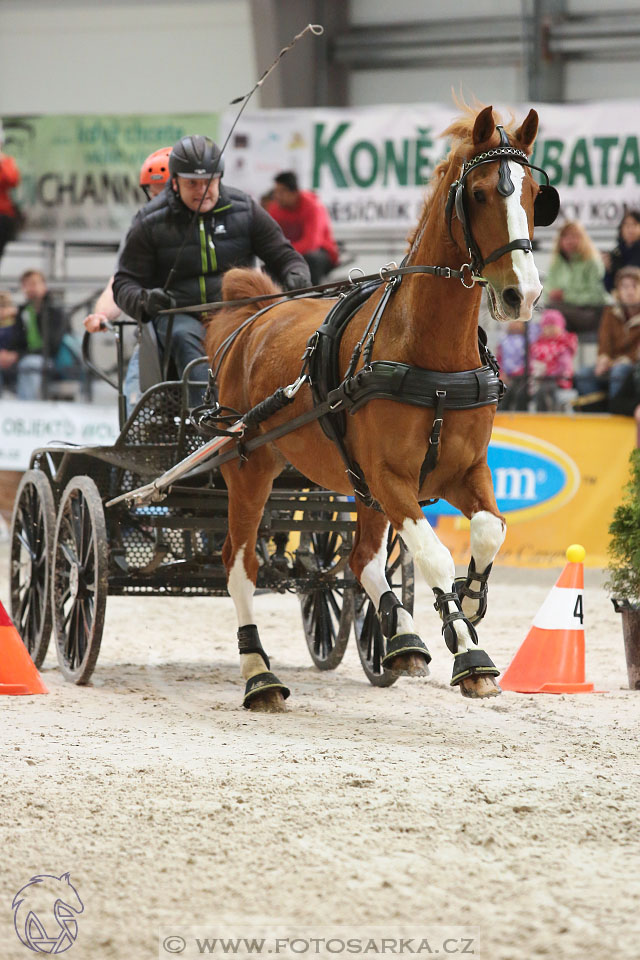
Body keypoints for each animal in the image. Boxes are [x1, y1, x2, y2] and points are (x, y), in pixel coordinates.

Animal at [205, 105, 552, 708]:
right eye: (479, 193)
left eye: (534, 193)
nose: (521, 295)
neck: (431, 358)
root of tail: (250, 317)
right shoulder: (393, 479)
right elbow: (433, 554)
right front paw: (471, 655)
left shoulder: (464, 469)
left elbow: (491, 529)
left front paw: (468, 602)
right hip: (250, 468)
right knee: (240, 563)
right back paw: (258, 674)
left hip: (356, 484)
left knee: (360, 558)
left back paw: (403, 638)